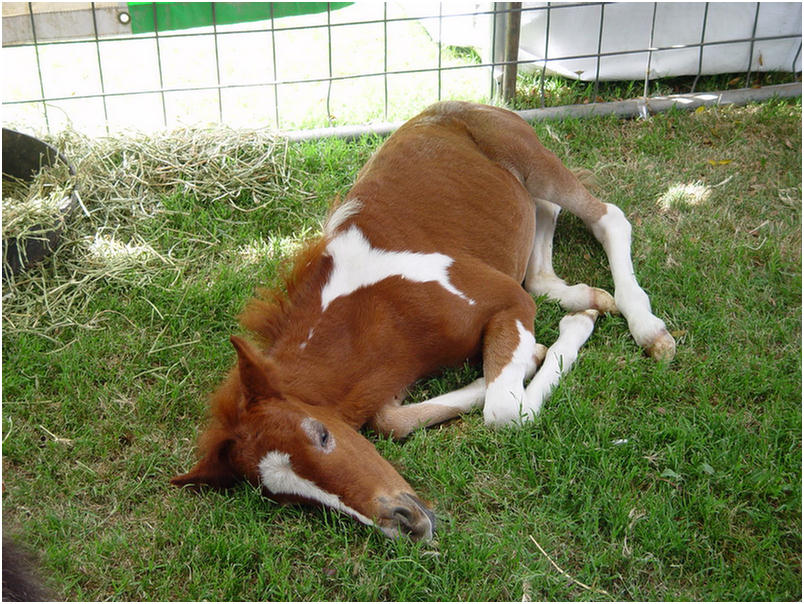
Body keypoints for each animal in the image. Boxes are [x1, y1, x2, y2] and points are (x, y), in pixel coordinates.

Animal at [173, 101, 676, 540]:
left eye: (321, 435)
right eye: (288, 498)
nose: (405, 523)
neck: (380, 311)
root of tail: (464, 105)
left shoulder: (506, 302)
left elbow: (504, 412)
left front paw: (569, 332)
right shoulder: (386, 381)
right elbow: (391, 422)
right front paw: (528, 356)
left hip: (536, 163)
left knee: (606, 218)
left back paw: (646, 328)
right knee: (539, 232)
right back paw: (583, 296)